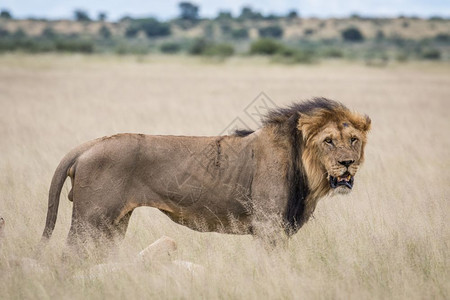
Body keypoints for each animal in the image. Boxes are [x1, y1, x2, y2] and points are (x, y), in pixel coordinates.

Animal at [40, 98, 370, 248]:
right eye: (328, 141)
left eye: (353, 139)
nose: (347, 163)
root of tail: (88, 145)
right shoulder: (268, 228)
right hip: (90, 220)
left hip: (113, 224)